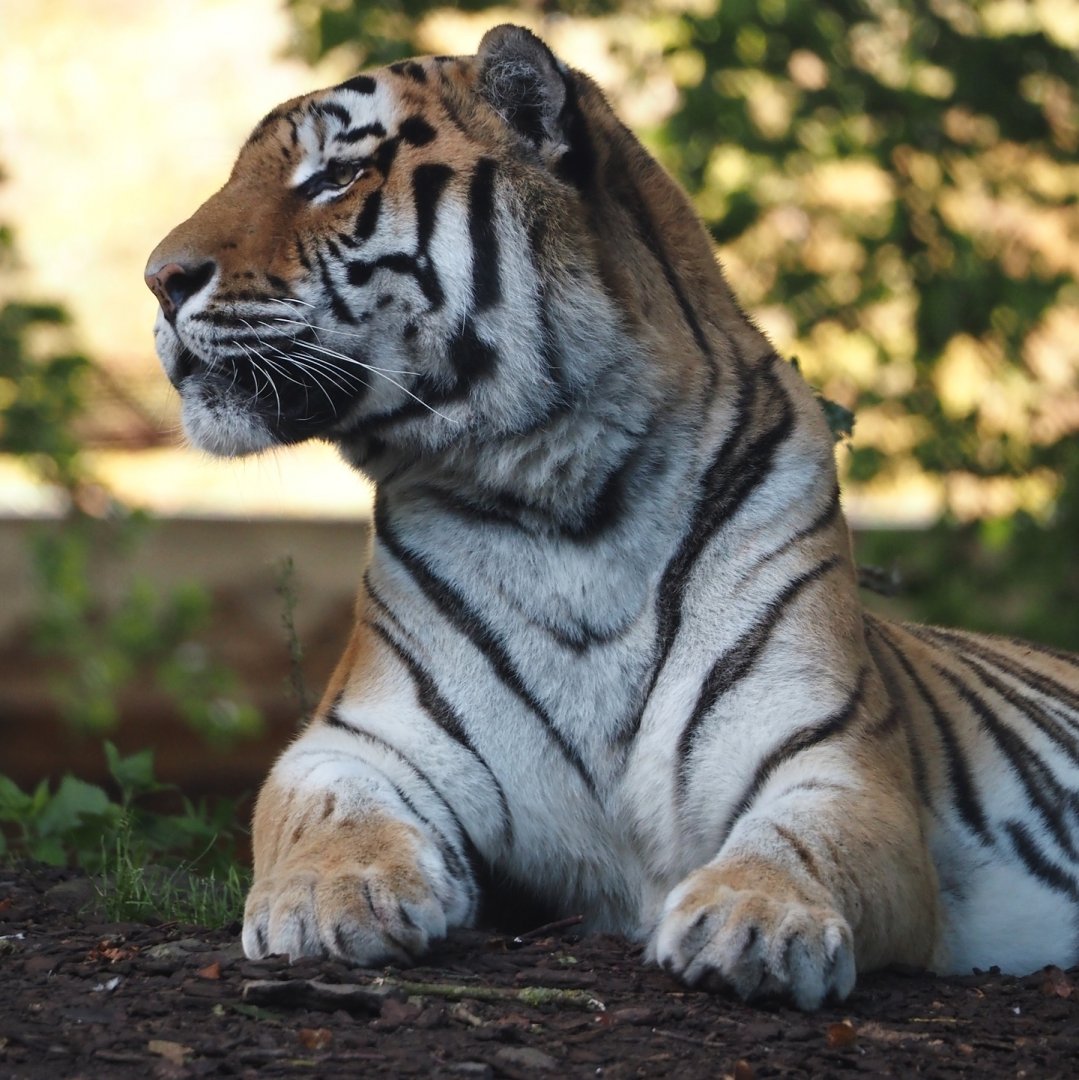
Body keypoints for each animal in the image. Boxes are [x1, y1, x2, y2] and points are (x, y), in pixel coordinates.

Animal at [145, 25, 1079, 1009]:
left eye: (336, 176)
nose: (158, 280)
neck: (563, 503)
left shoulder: (833, 758)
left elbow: (800, 844)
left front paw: (753, 921)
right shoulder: (361, 739)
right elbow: (326, 813)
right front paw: (333, 898)